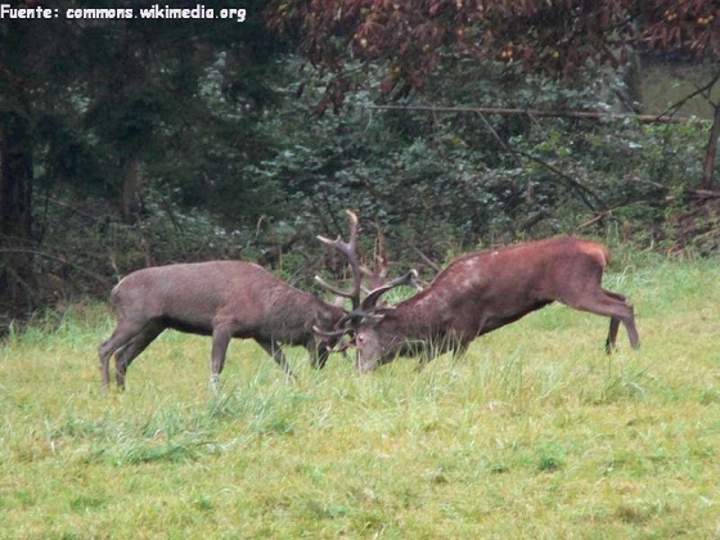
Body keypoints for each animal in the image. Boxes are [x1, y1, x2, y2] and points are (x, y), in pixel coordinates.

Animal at [98, 260, 348, 390]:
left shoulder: (261, 334)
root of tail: (114, 290)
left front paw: (297, 385)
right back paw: (106, 390)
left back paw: (122, 391)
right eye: (327, 338)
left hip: (154, 325)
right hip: (133, 318)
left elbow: (283, 362)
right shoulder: (223, 322)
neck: (267, 309)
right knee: (105, 347)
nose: (320, 365)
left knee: (122, 356)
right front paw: (215, 395)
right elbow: (217, 364)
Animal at [316, 210, 640, 372]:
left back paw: (635, 350)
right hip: (590, 283)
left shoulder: (465, 329)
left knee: (623, 306)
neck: (435, 316)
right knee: (623, 297)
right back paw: (609, 348)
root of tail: (601, 251)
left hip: (575, 287)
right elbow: (422, 364)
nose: (360, 371)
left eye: (359, 339)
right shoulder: (442, 340)